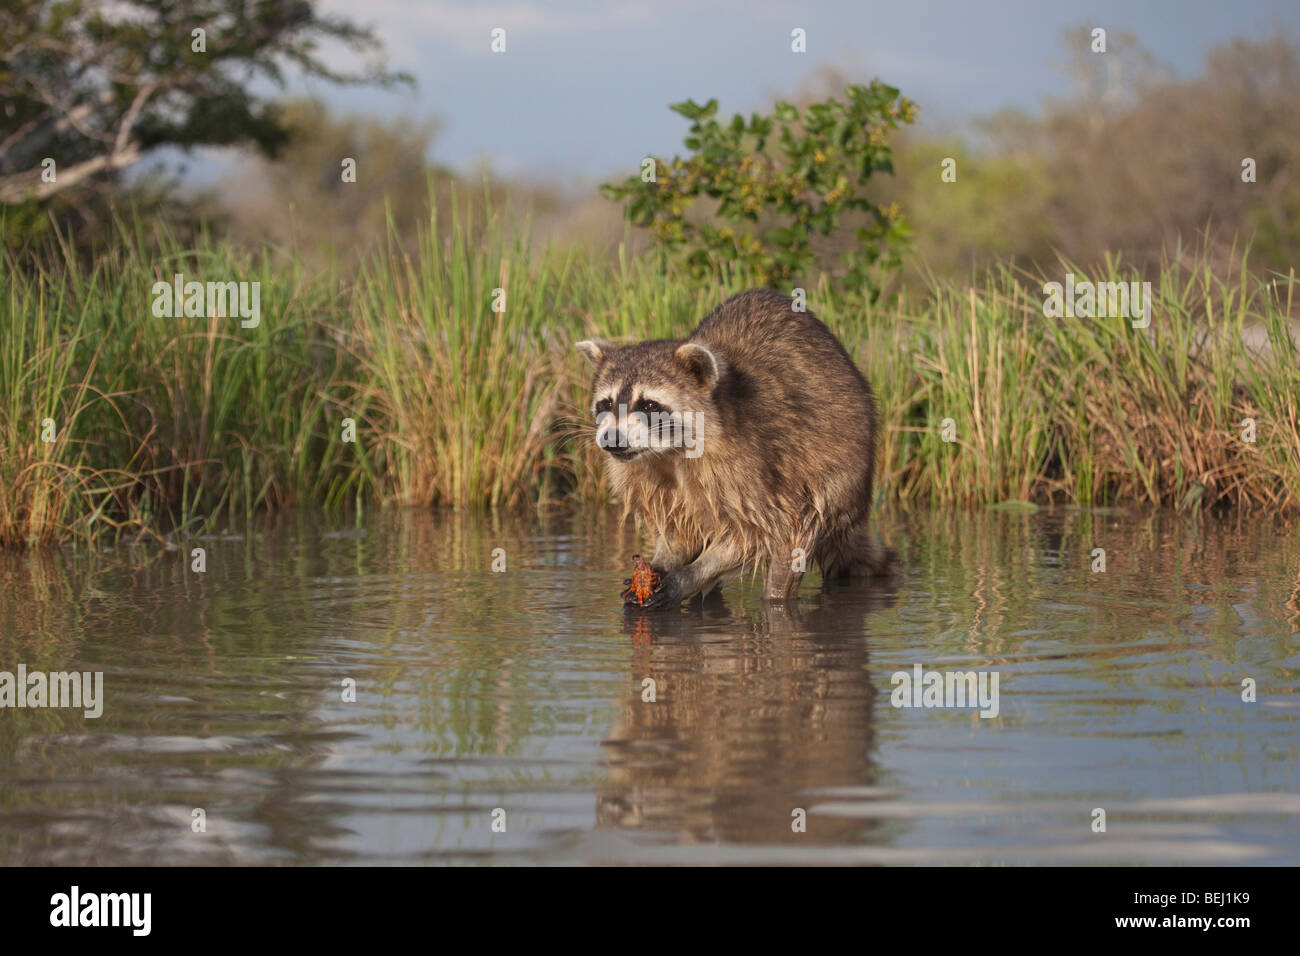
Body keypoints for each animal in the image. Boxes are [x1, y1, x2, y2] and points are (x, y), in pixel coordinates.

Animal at [579, 287, 894, 608]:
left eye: (649, 405)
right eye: (606, 404)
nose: (612, 439)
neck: (667, 454)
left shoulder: (750, 465)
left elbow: (757, 532)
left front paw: (690, 573)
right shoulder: (642, 474)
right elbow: (676, 529)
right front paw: (663, 561)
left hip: (837, 473)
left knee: (793, 543)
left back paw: (773, 596)